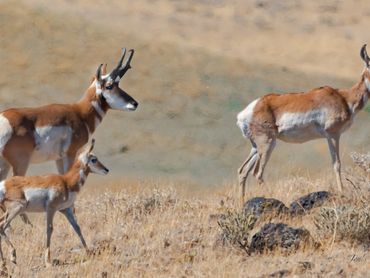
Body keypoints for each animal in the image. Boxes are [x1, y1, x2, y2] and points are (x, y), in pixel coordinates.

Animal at [0, 139, 107, 268]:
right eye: (94, 159)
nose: (106, 170)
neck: (66, 182)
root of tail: (4, 184)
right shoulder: (51, 209)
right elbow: (49, 229)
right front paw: (48, 261)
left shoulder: (65, 210)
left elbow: (77, 228)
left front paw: (88, 252)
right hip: (17, 209)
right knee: (2, 226)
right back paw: (13, 257)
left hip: (10, 211)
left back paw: (4, 263)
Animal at [237, 44, 370, 199]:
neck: (344, 98)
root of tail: (250, 110)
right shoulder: (333, 135)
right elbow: (337, 164)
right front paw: (342, 191)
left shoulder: (329, 137)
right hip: (268, 144)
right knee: (257, 173)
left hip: (255, 147)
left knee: (243, 171)